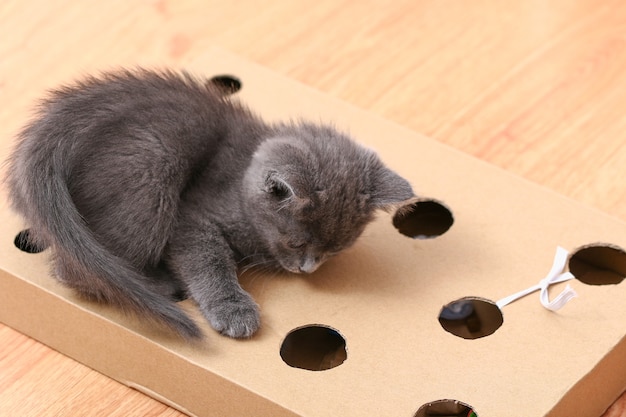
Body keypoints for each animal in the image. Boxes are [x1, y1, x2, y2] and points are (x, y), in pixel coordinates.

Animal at [7, 70, 414, 340]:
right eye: (297, 242)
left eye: (335, 249)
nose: (308, 268)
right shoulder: (193, 216)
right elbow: (209, 260)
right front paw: (234, 309)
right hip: (154, 169)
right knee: (72, 272)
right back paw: (159, 284)